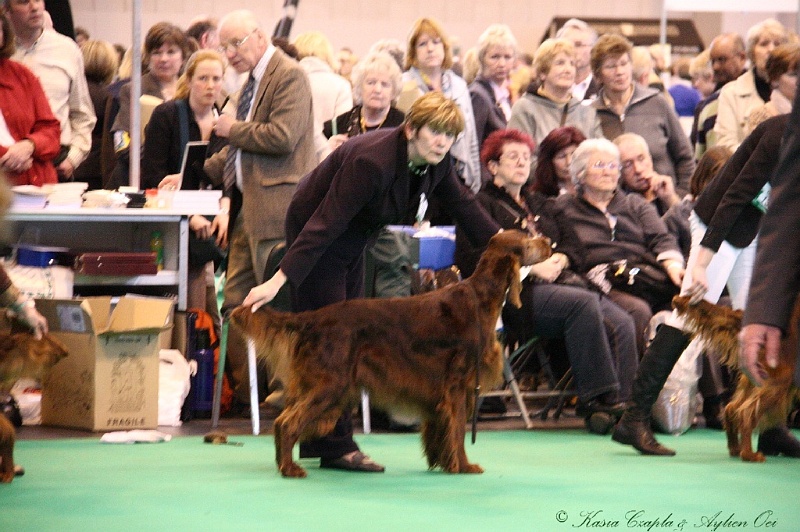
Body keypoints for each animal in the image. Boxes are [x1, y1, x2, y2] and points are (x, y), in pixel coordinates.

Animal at [231, 230, 552, 478]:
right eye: (527, 240)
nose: (549, 241)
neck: (480, 297)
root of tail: (312, 318)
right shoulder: (458, 385)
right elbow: (459, 431)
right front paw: (464, 466)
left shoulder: (441, 392)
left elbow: (441, 430)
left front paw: (442, 462)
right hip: (330, 384)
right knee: (287, 422)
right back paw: (290, 469)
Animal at [672, 296, 796, 462]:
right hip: (777, 380)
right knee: (746, 412)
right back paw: (749, 454)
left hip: (754, 378)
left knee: (732, 408)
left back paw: (736, 449)